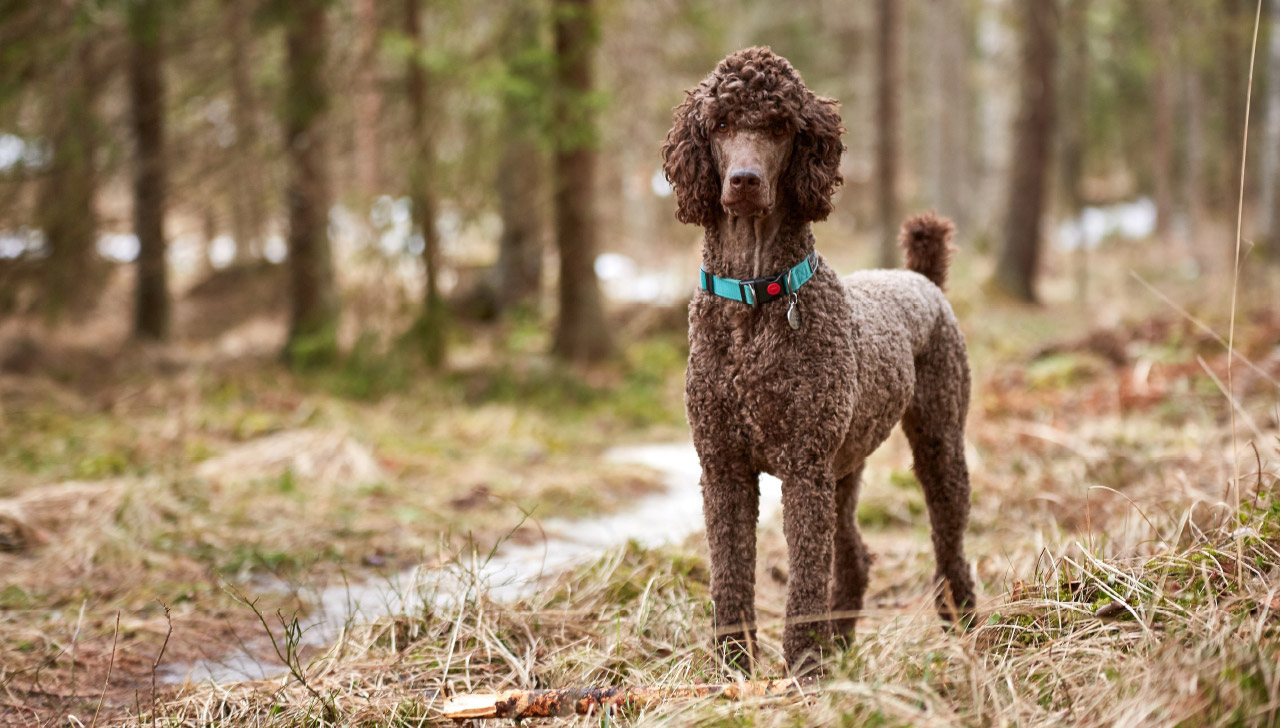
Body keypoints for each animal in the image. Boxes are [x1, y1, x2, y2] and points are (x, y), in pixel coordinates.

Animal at [665, 45, 972, 670]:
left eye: (781, 126)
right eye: (721, 124)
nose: (745, 180)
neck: (755, 302)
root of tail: (921, 279)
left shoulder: (803, 466)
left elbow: (804, 579)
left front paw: (802, 669)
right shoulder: (723, 466)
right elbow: (730, 575)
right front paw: (733, 667)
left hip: (937, 442)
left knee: (949, 544)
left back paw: (965, 627)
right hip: (845, 466)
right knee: (854, 556)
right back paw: (843, 645)